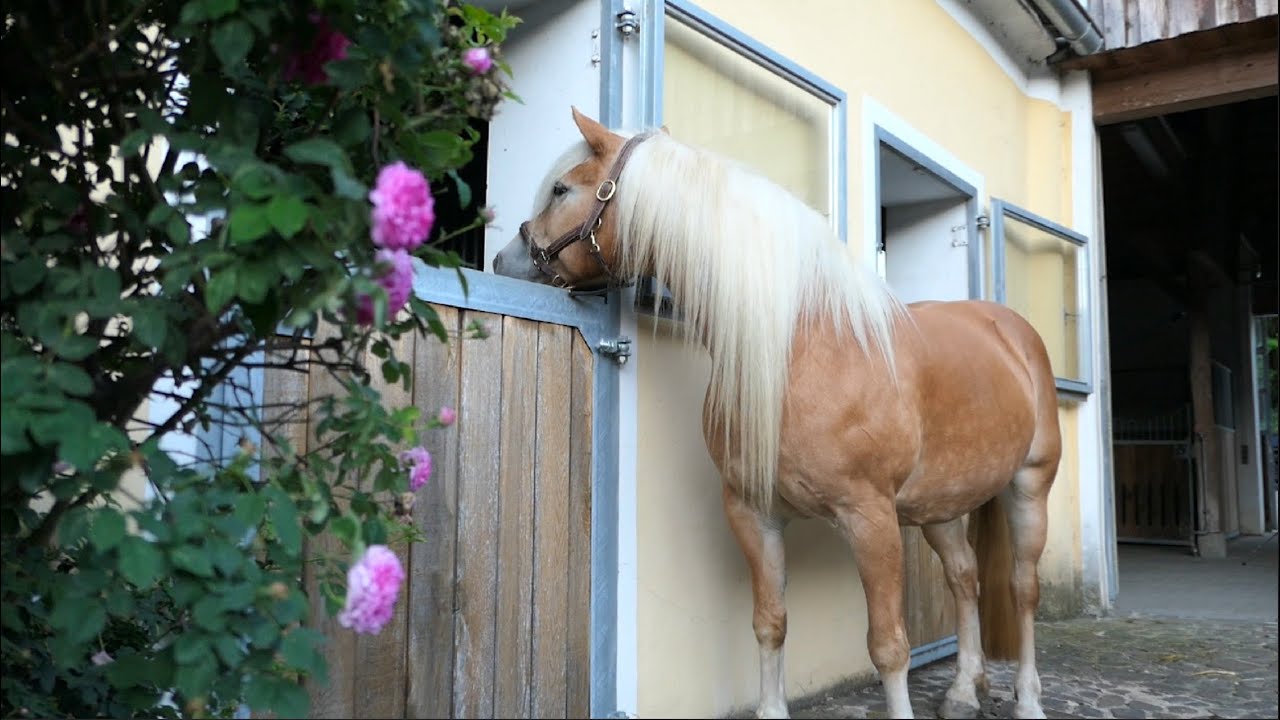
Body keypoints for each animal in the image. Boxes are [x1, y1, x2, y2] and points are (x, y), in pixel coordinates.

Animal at [493, 107, 1061, 720]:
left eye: (560, 189)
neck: (799, 345)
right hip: (941, 505)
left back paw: (1028, 699)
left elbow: (889, 646)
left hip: (1028, 487)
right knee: (964, 578)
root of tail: (1009, 330)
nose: (503, 260)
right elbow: (770, 623)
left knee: (1022, 589)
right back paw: (962, 690)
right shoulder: (753, 513)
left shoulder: (872, 519)